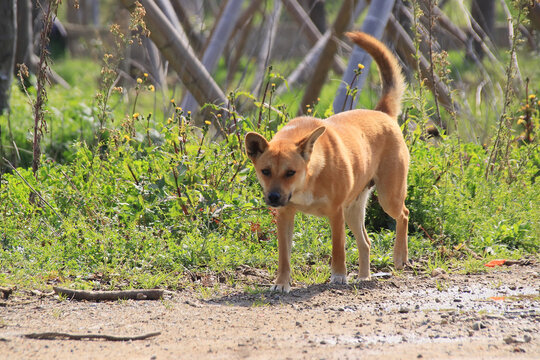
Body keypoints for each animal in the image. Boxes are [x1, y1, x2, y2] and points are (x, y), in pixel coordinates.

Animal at [245, 31, 410, 292]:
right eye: (265, 171)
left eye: (290, 172)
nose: (273, 198)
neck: (310, 176)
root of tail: (382, 113)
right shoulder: (285, 215)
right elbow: (284, 256)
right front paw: (281, 283)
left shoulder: (335, 213)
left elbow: (338, 249)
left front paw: (339, 276)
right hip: (355, 208)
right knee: (366, 242)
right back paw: (364, 277)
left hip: (388, 196)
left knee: (404, 214)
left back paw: (399, 256)